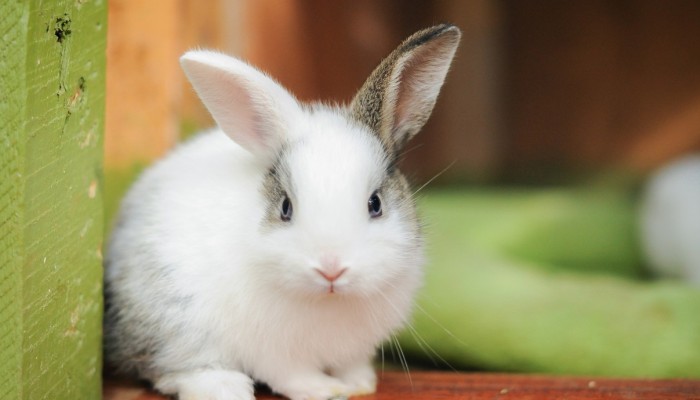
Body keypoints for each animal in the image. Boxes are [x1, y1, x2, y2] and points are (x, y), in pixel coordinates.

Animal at [104, 25, 462, 400]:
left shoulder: (355, 348)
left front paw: (360, 384)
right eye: (286, 208)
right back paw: (226, 388)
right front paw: (327, 390)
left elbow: (351, 364)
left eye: (375, 203)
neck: (328, 301)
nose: (331, 269)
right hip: (176, 324)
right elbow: (291, 375)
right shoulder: (274, 353)